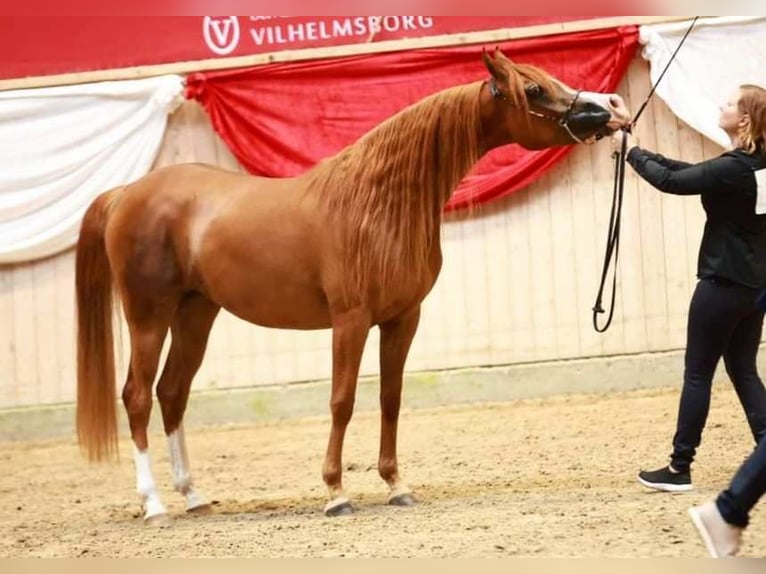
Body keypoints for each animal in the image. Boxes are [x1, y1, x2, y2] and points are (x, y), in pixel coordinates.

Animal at [75, 50, 632, 528]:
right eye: (534, 88)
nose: (609, 109)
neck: (375, 203)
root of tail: (126, 193)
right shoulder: (351, 319)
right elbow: (342, 400)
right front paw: (335, 492)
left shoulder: (403, 318)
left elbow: (390, 397)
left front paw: (396, 485)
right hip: (148, 314)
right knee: (138, 396)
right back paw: (153, 505)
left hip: (196, 313)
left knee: (173, 393)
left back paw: (192, 496)